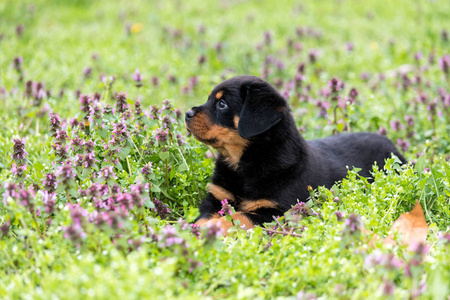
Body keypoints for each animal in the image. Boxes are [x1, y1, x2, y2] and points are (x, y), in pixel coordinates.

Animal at [185, 76, 406, 233]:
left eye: (222, 104)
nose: (187, 113)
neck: (243, 164)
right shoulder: (215, 198)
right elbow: (204, 217)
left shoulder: (275, 211)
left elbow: (237, 217)